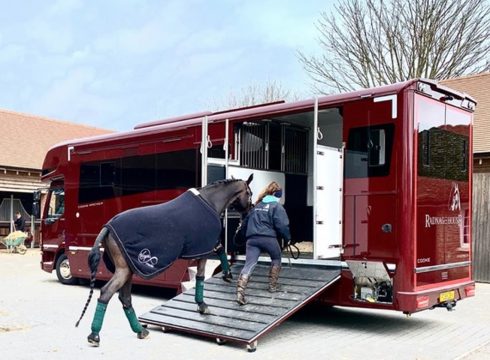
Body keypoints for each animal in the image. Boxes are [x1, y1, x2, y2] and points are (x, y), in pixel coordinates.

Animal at [75, 174, 256, 346]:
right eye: (249, 193)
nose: (250, 210)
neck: (209, 201)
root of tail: (107, 227)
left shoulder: (206, 246)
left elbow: (219, 251)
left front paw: (227, 275)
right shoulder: (203, 249)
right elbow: (202, 275)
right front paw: (203, 304)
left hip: (129, 271)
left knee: (125, 298)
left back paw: (140, 331)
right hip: (124, 271)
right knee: (106, 293)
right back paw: (94, 335)